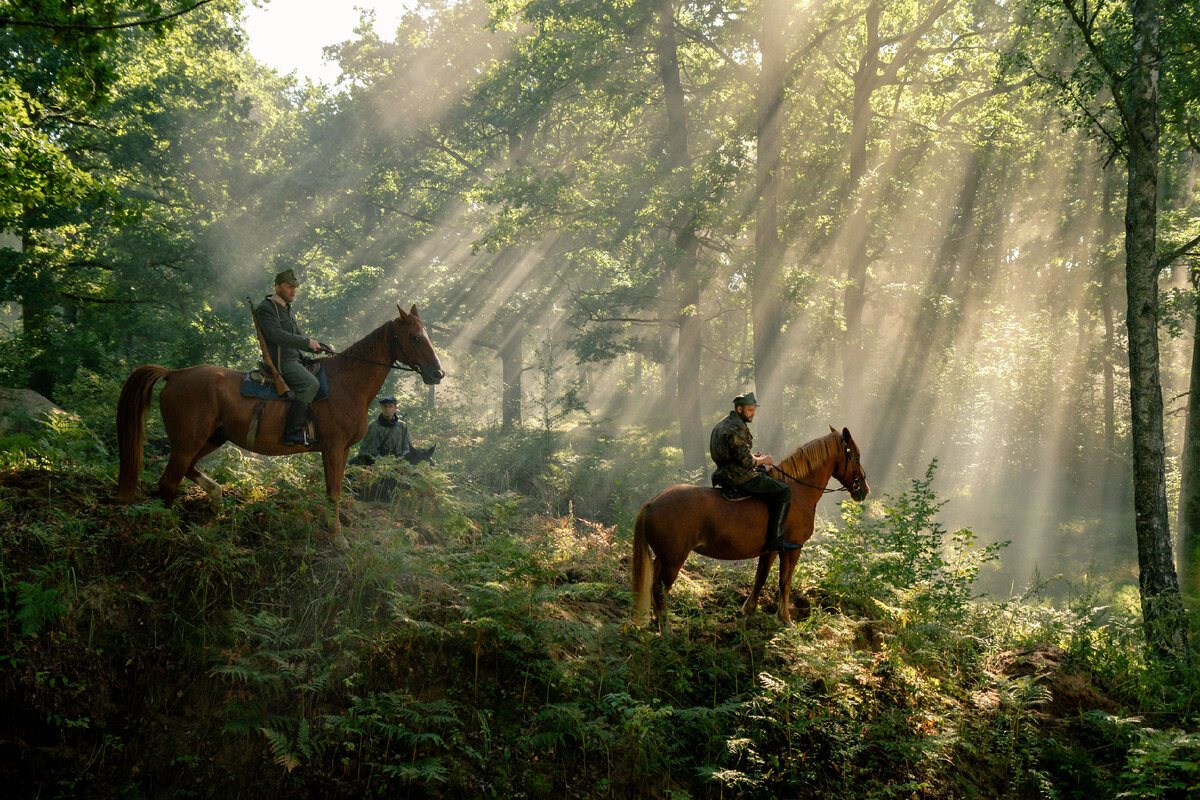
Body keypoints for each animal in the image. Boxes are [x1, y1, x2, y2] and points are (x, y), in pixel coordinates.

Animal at [114, 303, 444, 542]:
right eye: (415, 337)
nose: (437, 373)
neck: (347, 383)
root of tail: (176, 374)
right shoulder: (334, 447)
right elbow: (334, 492)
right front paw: (338, 537)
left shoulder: (343, 449)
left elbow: (333, 489)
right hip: (187, 441)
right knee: (169, 482)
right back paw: (167, 528)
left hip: (212, 438)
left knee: (188, 470)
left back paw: (215, 499)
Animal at [628, 429, 873, 628]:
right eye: (856, 456)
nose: (864, 490)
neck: (798, 492)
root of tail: (652, 503)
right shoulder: (792, 549)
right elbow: (784, 582)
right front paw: (784, 619)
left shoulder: (770, 550)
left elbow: (761, 578)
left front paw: (749, 610)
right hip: (674, 559)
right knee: (660, 588)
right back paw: (666, 627)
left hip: (663, 556)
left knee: (653, 584)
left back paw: (657, 620)